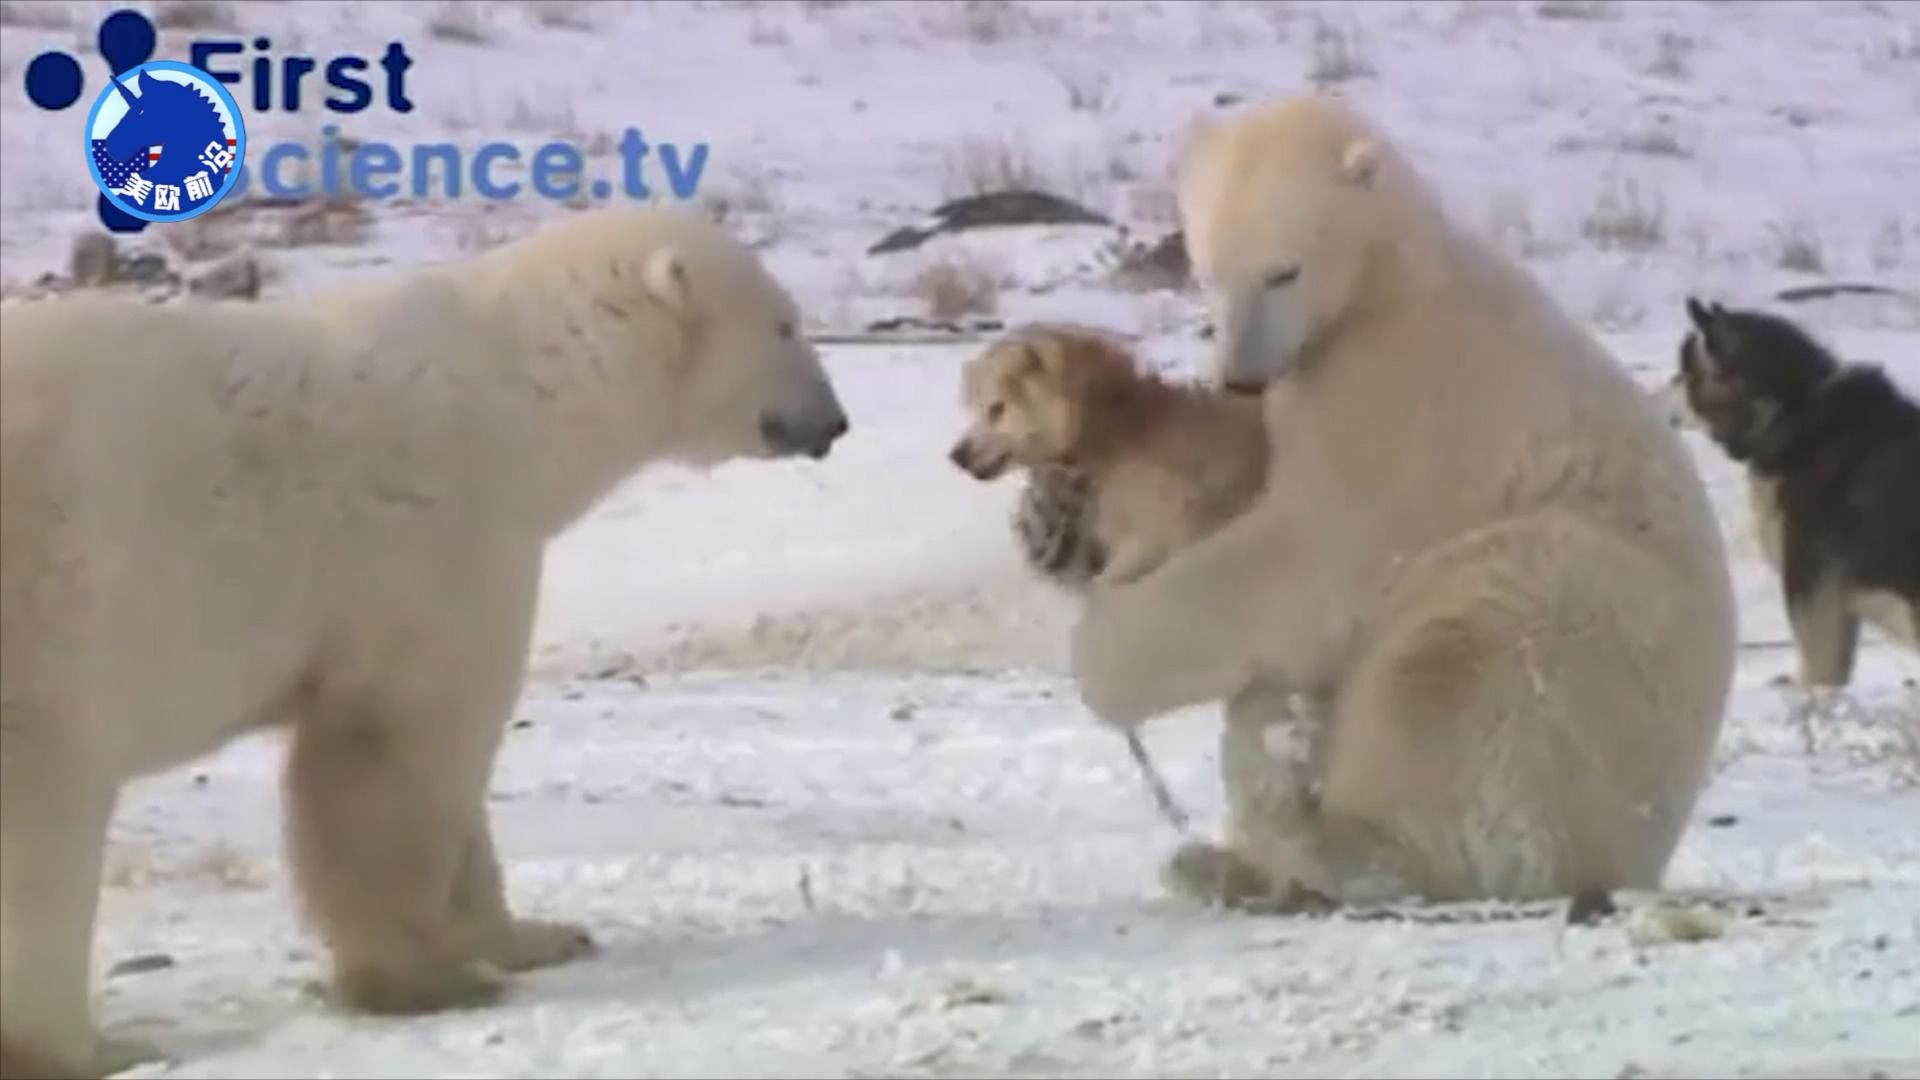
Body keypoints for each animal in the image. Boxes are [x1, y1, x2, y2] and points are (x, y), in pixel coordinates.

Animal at [1, 205, 848, 1068]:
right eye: (785, 324)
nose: (834, 421)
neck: (523, 395)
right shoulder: (438, 544)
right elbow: (399, 755)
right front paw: (428, 979)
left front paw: (538, 936)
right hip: (53, 605)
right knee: (48, 819)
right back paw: (90, 1046)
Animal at [1067, 96, 1743, 907]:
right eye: (1206, 271)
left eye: (1283, 271)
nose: (1241, 377)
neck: (1390, 280)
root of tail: (1644, 857)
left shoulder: (1404, 403)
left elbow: (1307, 565)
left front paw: (1098, 659)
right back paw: (1222, 856)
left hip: (1601, 653)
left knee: (1460, 654)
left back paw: (1319, 837)